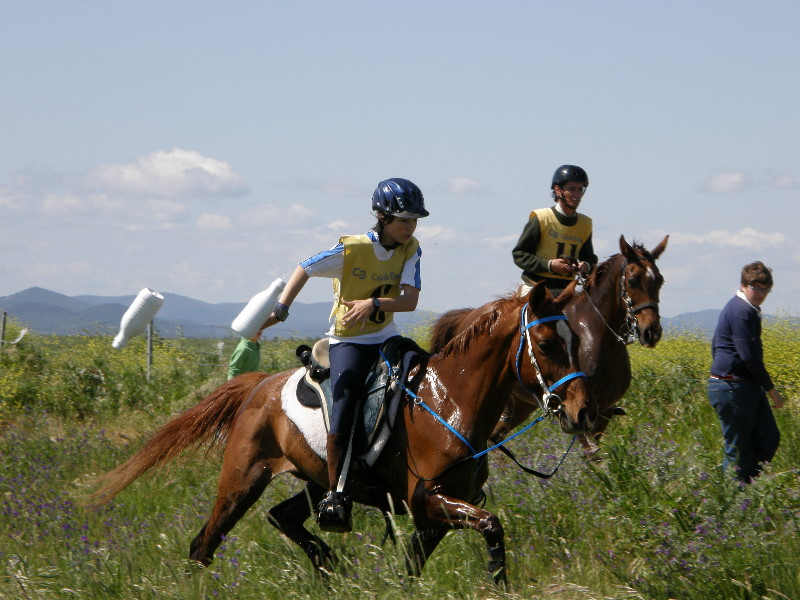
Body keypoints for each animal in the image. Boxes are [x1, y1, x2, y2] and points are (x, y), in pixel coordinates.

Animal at [90, 282, 596, 584]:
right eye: (547, 344)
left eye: (575, 340)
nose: (583, 411)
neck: (449, 403)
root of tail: (259, 386)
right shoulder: (428, 500)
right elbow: (492, 527)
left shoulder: (434, 514)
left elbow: (418, 565)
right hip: (242, 479)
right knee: (205, 543)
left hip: (319, 484)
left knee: (282, 517)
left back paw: (328, 563)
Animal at [432, 234, 668, 454]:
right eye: (633, 280)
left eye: (660, 280)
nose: (651, 331)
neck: (599, 335)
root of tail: (469, 316)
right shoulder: (579, 414)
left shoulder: (600, 413)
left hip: (520, 404)